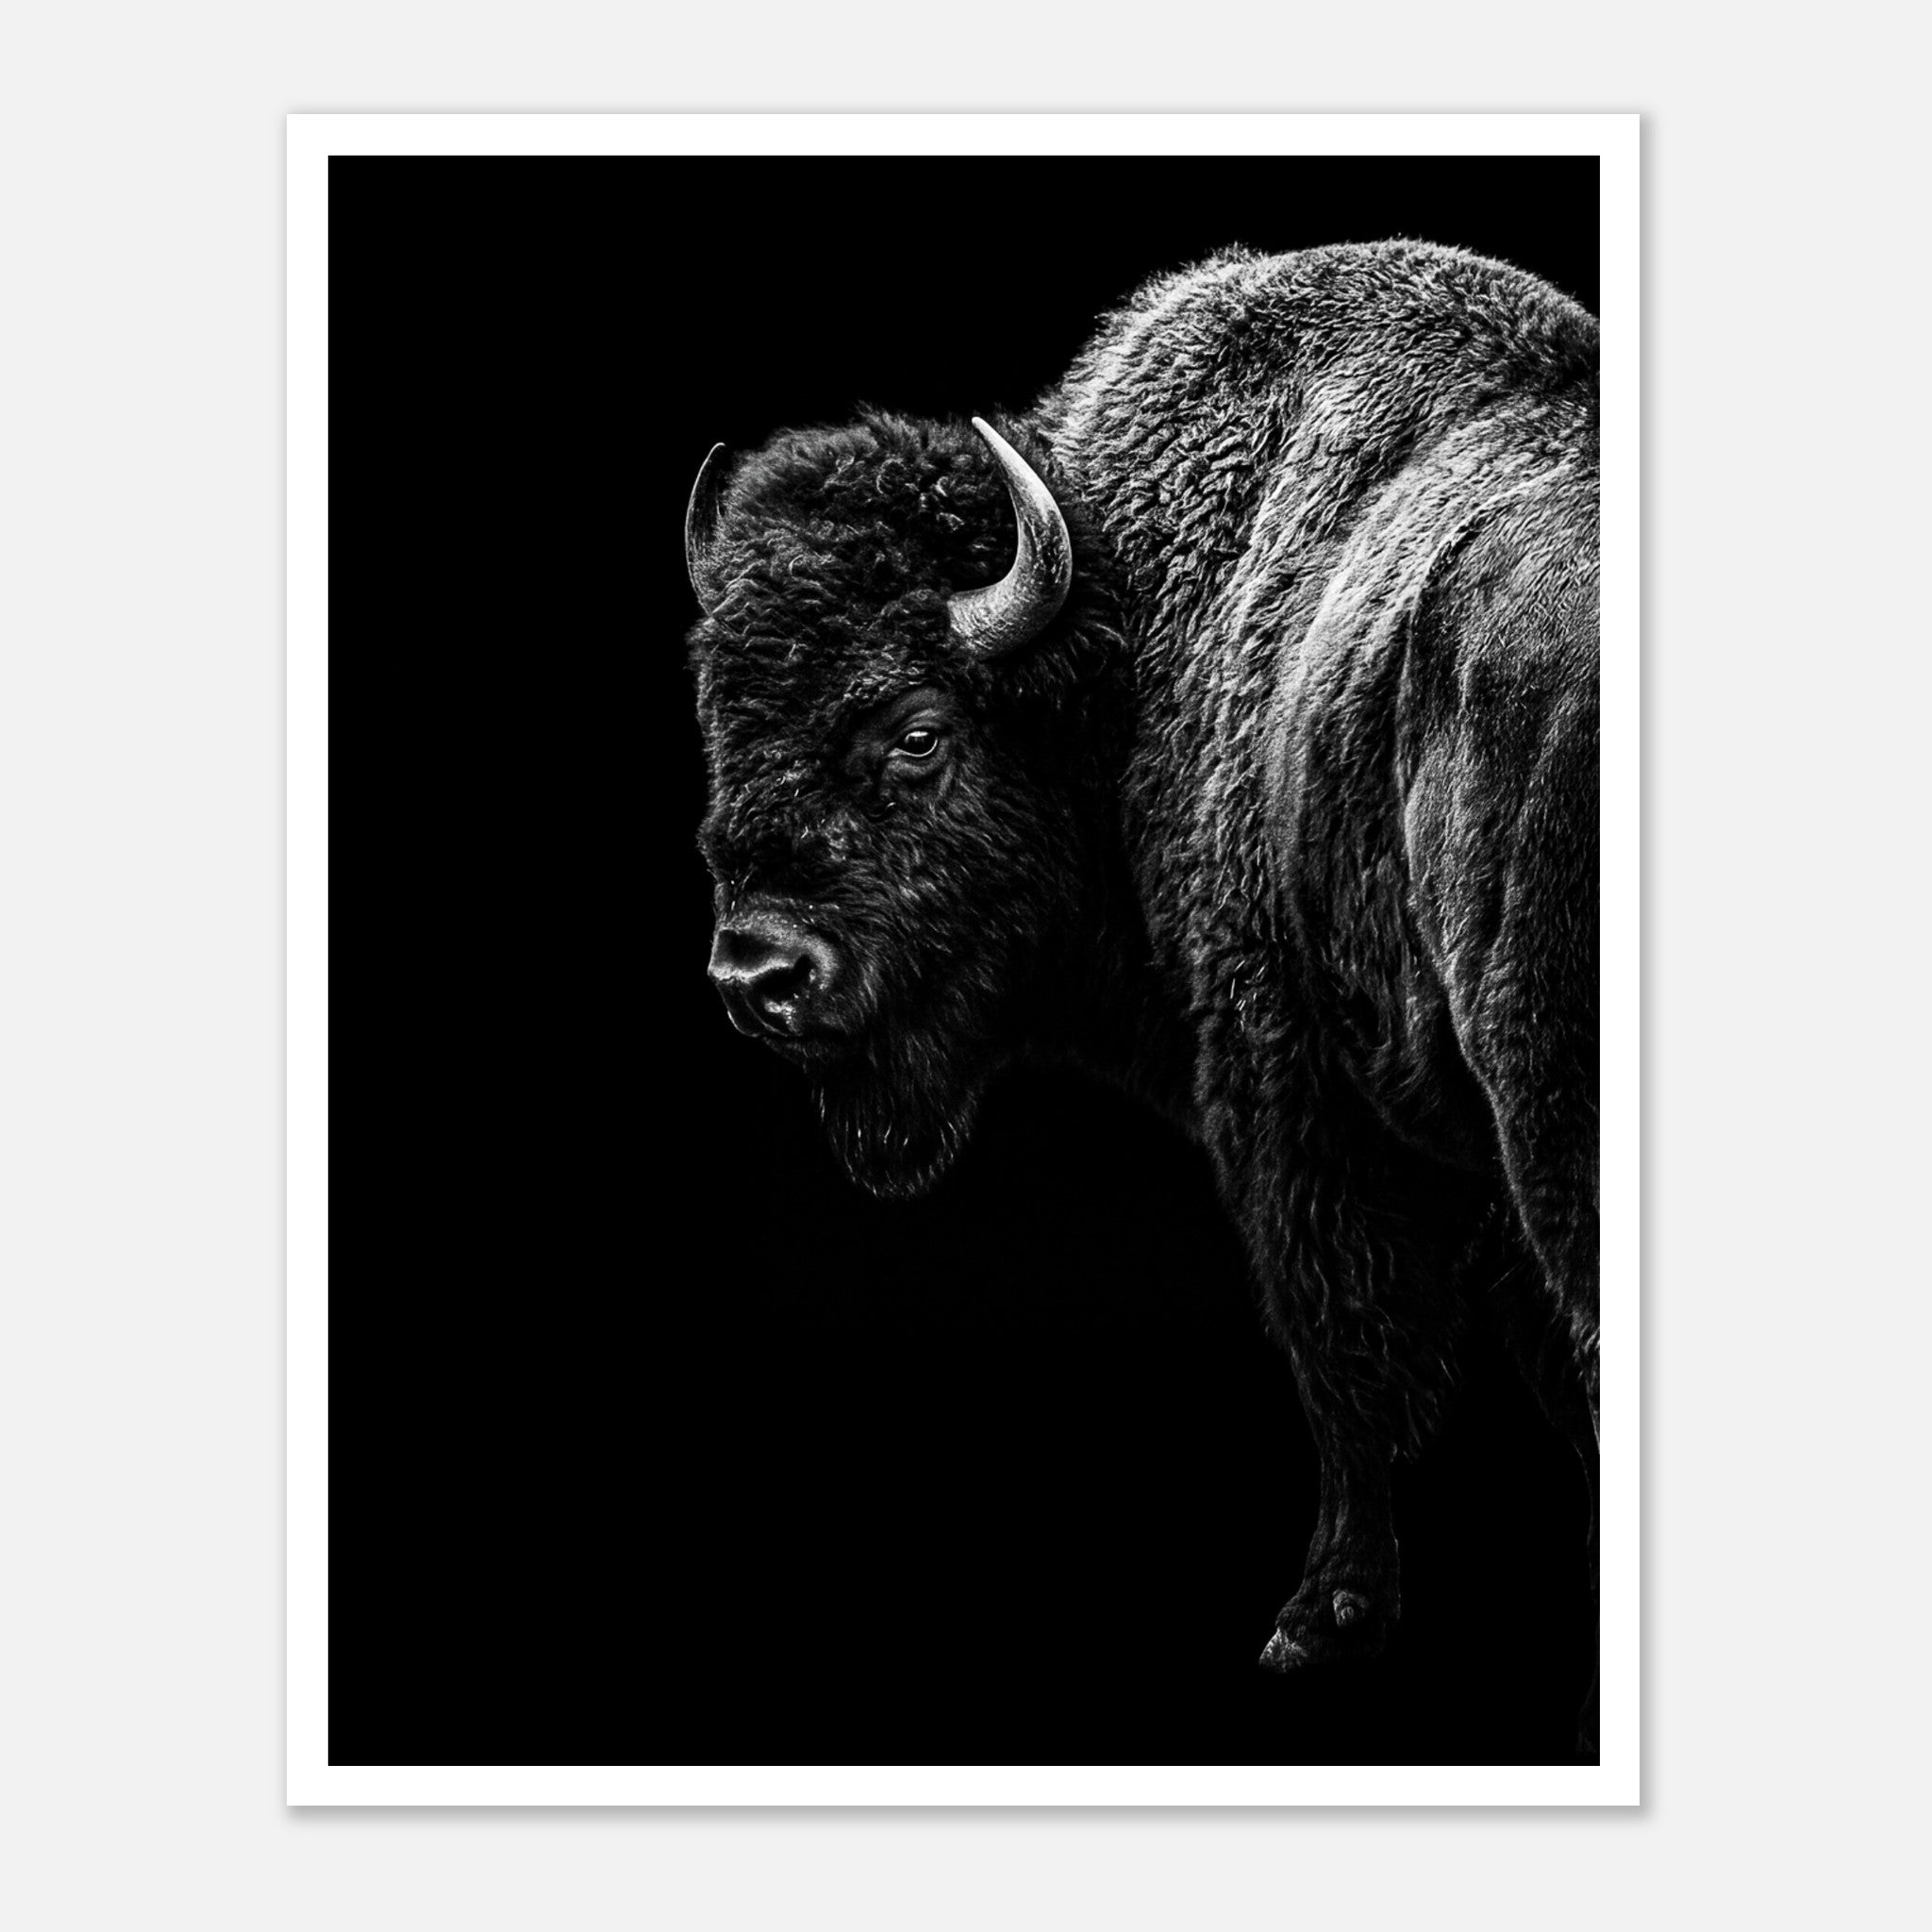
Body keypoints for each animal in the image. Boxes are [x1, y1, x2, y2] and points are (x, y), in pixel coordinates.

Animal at [684, 240, 1601, 1756]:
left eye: (917, 734)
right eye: (722, 727)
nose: (759, 973)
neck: (1119, 635)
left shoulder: (1288, 1093)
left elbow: (1346, 1347)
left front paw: (1319, 1621)